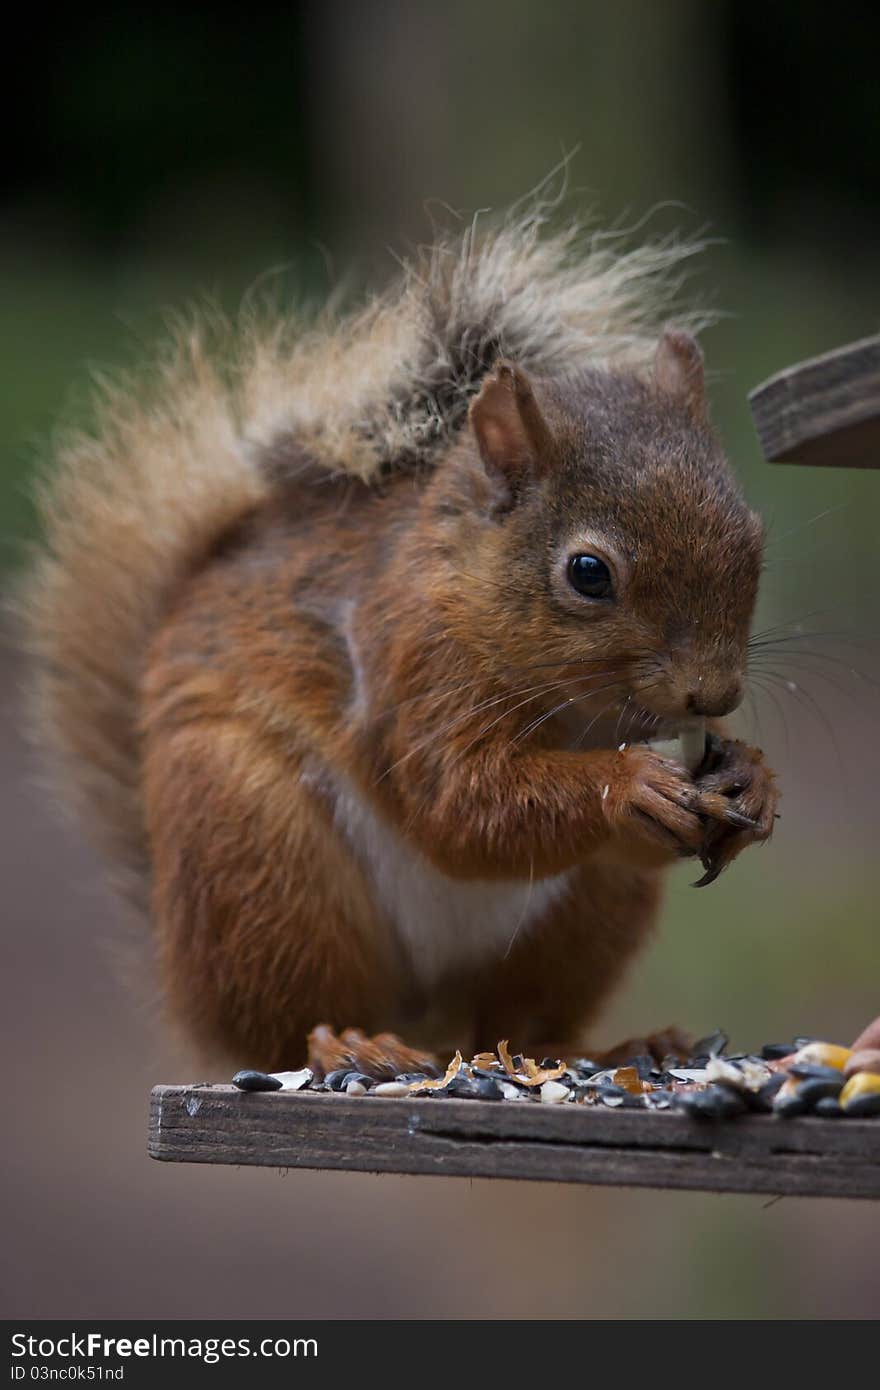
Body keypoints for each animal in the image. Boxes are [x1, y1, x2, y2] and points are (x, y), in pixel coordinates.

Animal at [23, 208, 772, 1073]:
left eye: (754, 537)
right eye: (588, 573)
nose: (714, 693)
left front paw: (752, 778)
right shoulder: (410, 663)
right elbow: (458, 801)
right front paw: (630, 786)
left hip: (585, 916)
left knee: (519, 1022)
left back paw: (617, 1047)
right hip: (256, 855)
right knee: (286, 1024)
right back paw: (347, 1043)